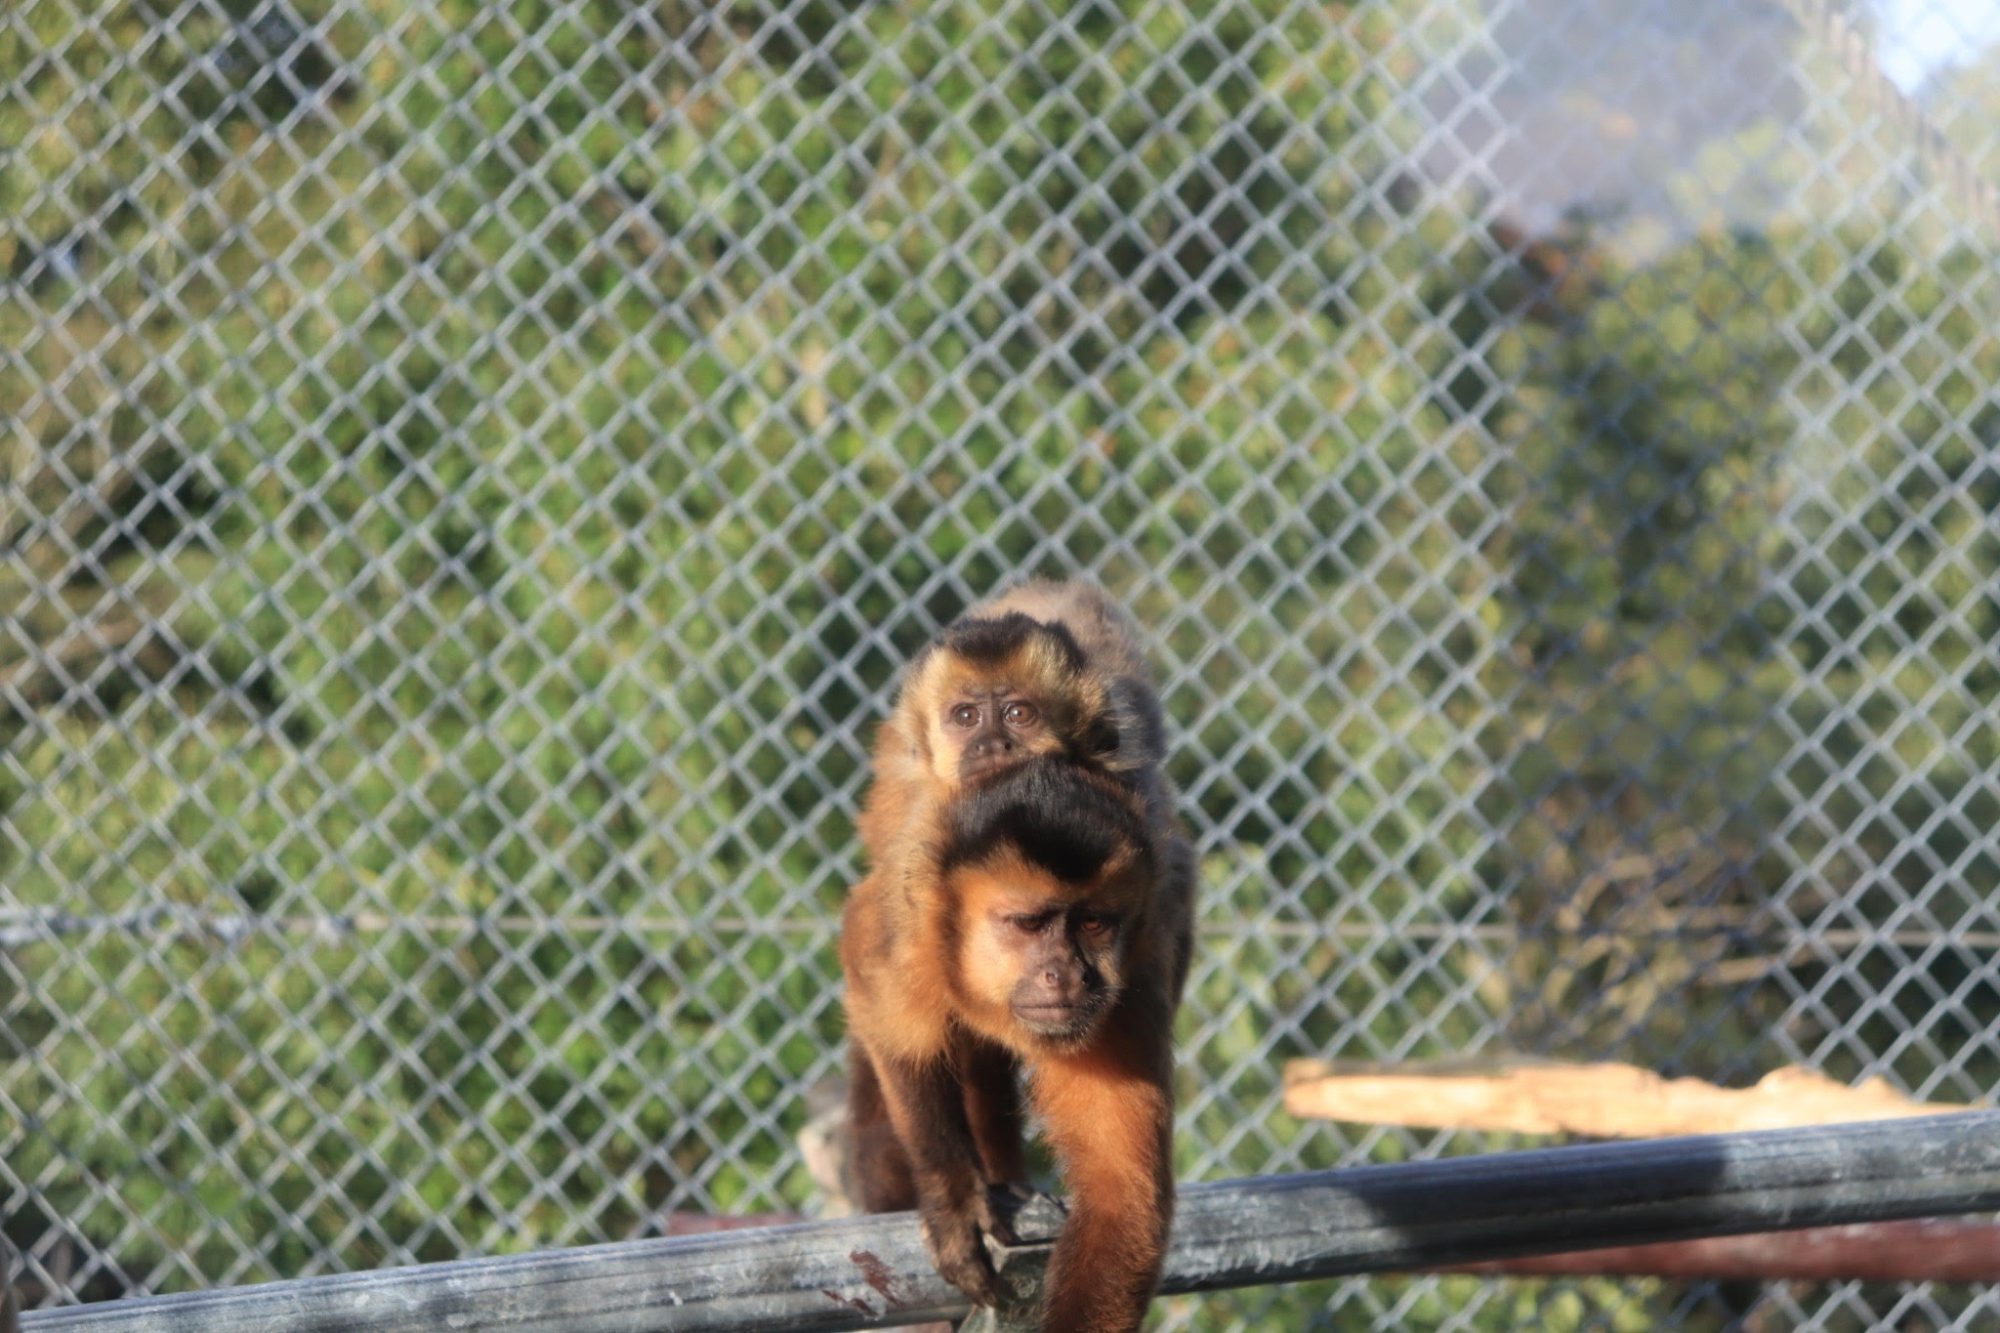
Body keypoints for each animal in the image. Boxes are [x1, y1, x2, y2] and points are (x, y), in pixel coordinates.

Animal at [840, 580, 1192, 1328]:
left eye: (1093, 924)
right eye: (1029, 925)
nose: (1067, 974)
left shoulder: (1127, 994)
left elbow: (1123, 1203)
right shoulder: (913, 913)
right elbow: (893, 1023)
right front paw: (952, 1196)